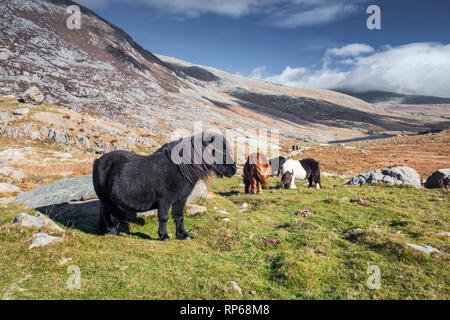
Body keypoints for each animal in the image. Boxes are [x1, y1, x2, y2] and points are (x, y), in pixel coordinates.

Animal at [93, 130, 237, 240]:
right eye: (219, 151)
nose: (233, 170)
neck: (177, 169)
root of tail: (98, 160)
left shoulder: (181, 200)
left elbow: (179, 217)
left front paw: (183, 235)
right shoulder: (164, 200)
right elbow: (163, 217)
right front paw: (164, 236)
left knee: (102, 212)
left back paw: (101, 230)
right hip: (105, 198)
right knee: (105, 212)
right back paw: (111, 230)